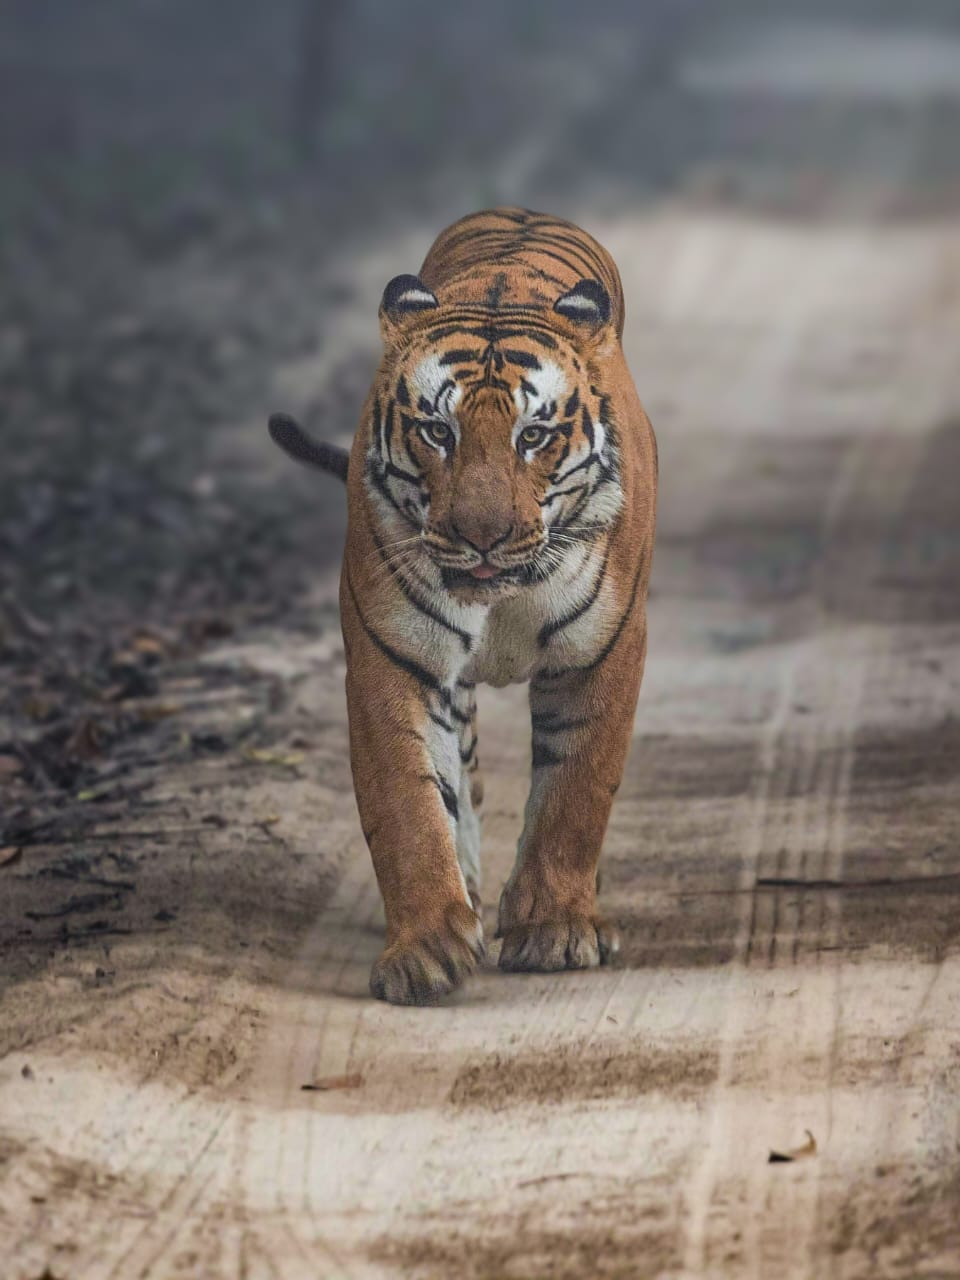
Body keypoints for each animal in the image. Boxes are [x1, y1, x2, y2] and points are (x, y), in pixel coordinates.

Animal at [269, 207, 657, 1005]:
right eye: (436, 432)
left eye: (532, 435)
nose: (483, 537)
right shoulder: (393, 660)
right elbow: (409, 803)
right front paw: (426, 950)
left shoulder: (604, 652)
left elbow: (575, 792)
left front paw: (556, 929)